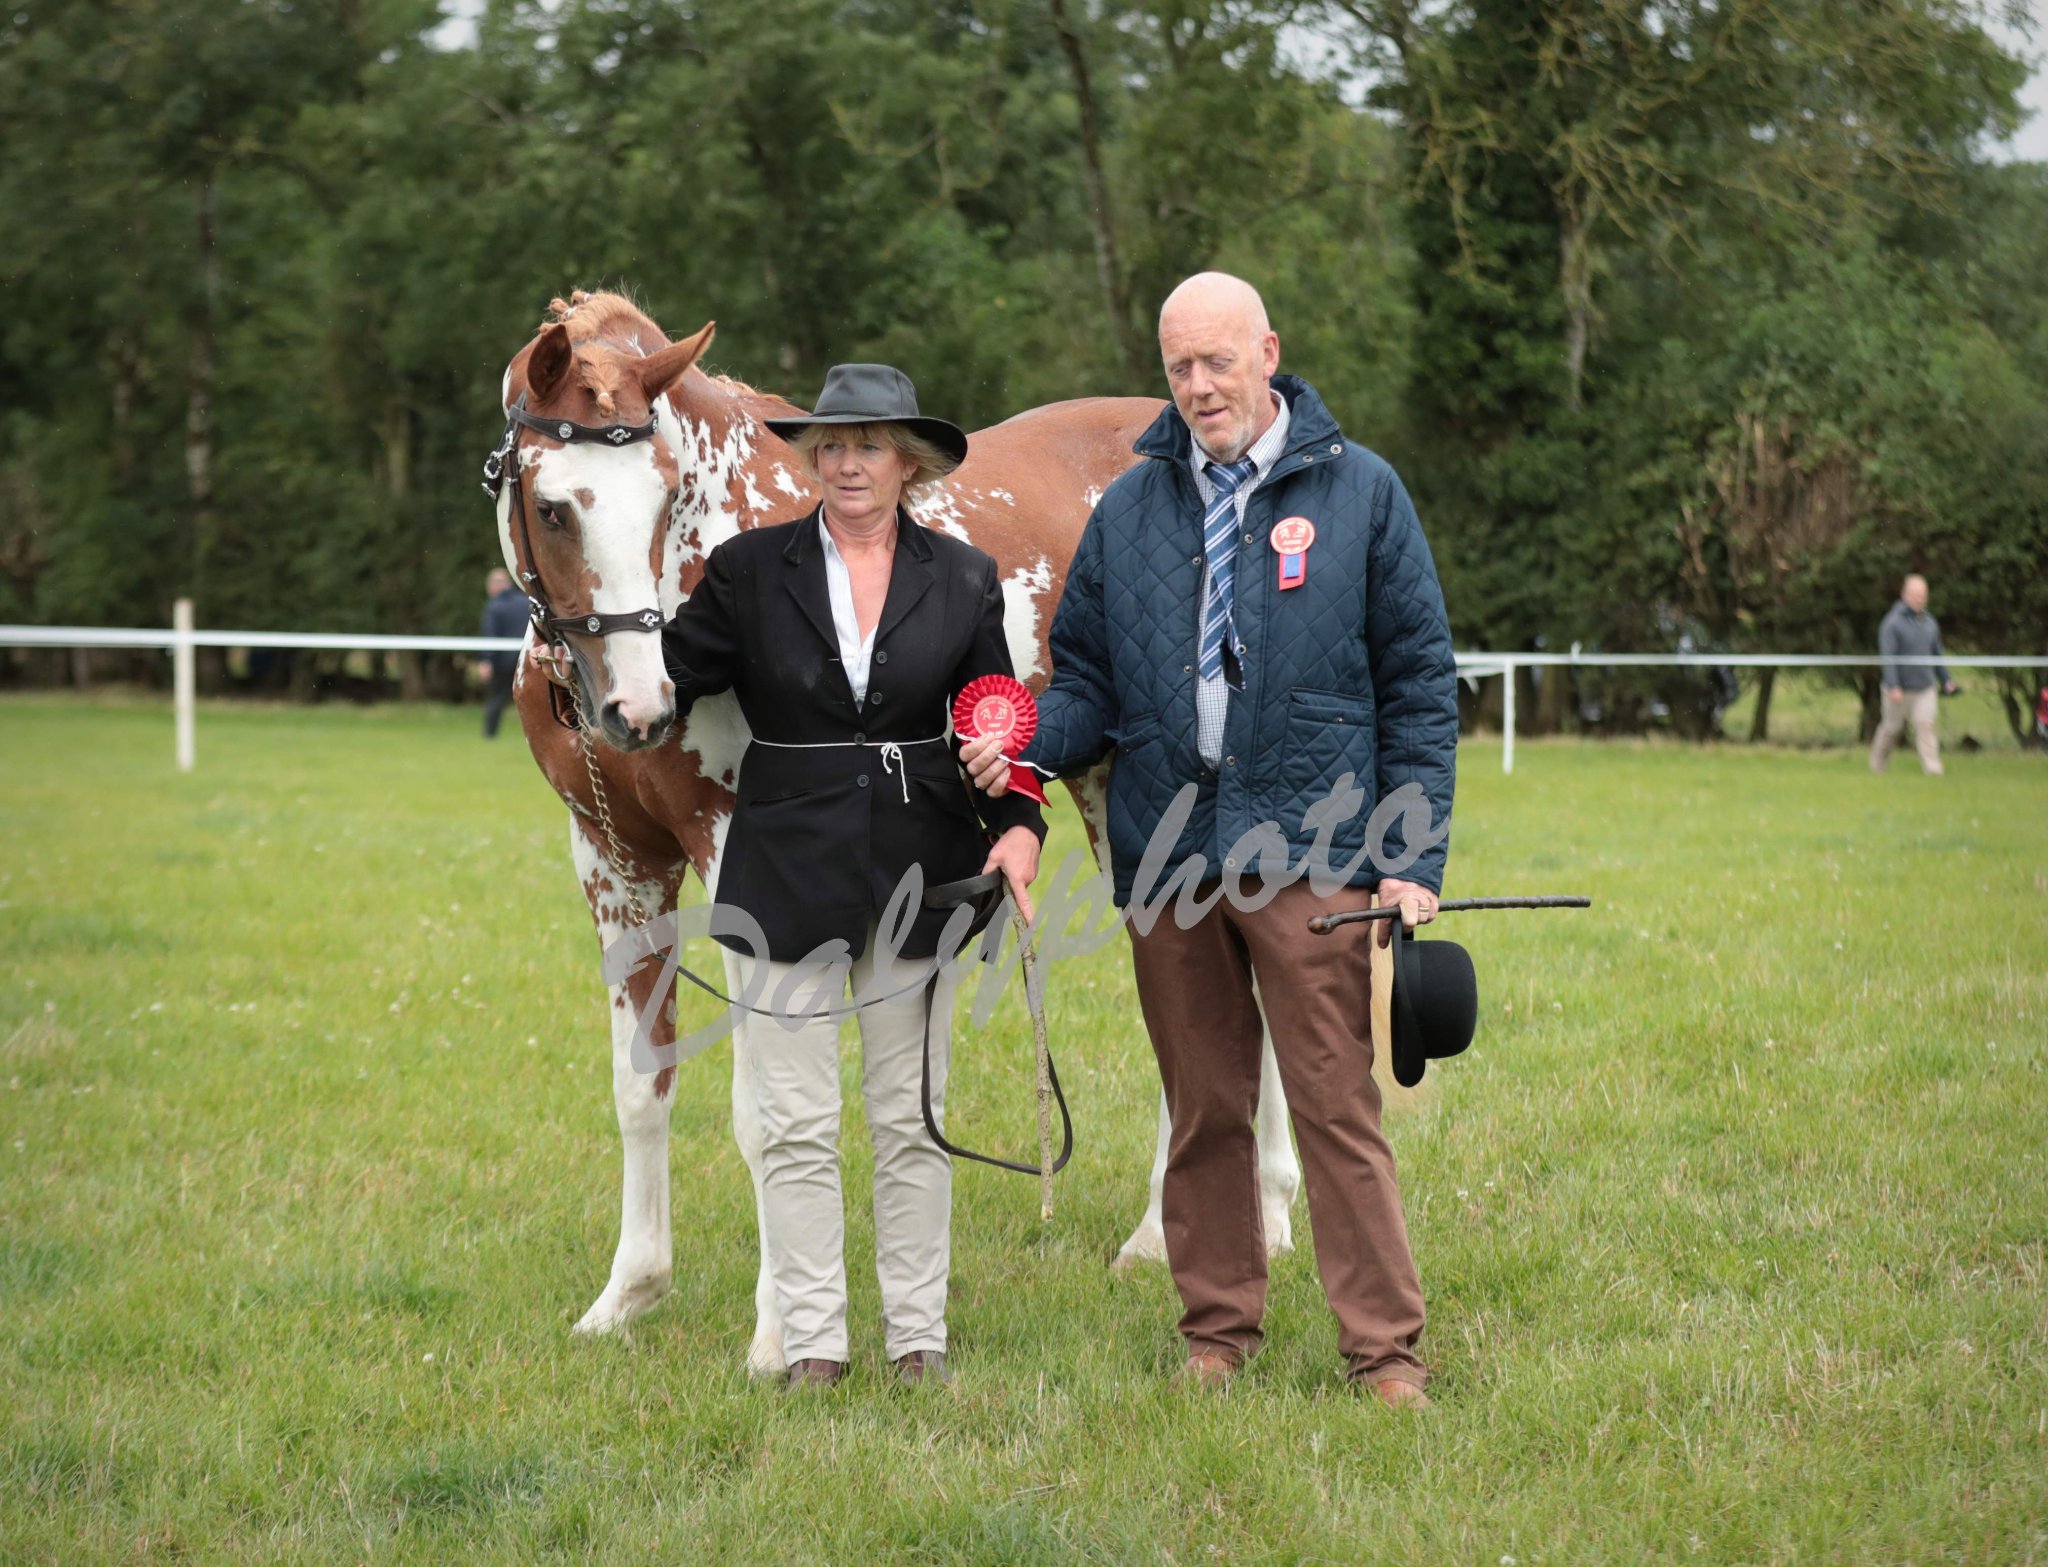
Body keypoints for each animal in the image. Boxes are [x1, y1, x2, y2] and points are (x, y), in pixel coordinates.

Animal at [492, 290, 1304, 1371]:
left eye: (663, 497)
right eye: (552, 506)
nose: (640, 706)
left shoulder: (734, 855)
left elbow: (762, 1109)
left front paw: (772, 1334)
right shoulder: (614, 862)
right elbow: (642, 1083)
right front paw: (627, 1296)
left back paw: (1192, 1229)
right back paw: (1248, 1219)